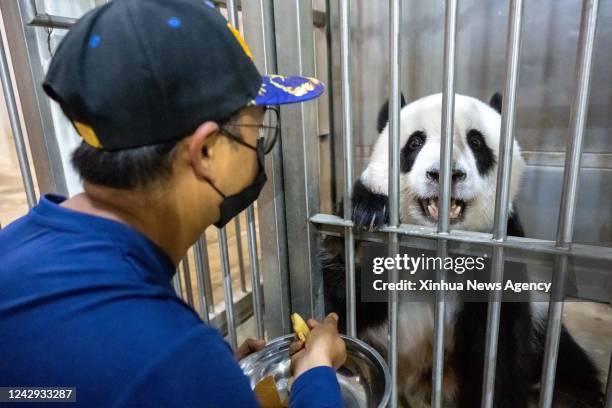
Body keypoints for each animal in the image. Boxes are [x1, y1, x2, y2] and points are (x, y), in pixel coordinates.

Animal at [322, 93, 604, 408]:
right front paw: (369, 219)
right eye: (415, 142)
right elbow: (345, 305)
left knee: (569, 374)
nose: (445, 173)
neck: (432, 250)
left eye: (476, 141)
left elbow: (499, 348)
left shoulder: (501, 256)